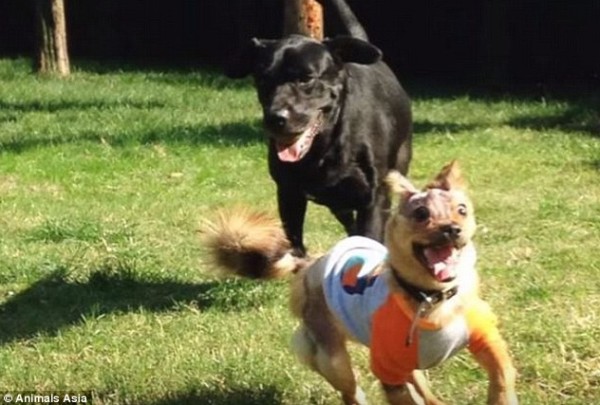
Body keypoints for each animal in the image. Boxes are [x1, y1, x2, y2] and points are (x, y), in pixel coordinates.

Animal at [203, 161, 518, 404]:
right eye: (421, 214)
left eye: (462, 211)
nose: (452, 229)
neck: (430, 297)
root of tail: (309, 264)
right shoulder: (388, 371)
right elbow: (401, 396)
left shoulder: (486, 338)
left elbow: (503, 374)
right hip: (332, 357)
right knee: (351, 392)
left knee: (419, 383)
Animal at [225, 0, 412, 257]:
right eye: (262, 79)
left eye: (306, 79)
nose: (276, 118)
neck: (325, 146)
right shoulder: (289, 194)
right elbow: (294, 242)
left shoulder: (374, 198)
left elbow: (370, 236)